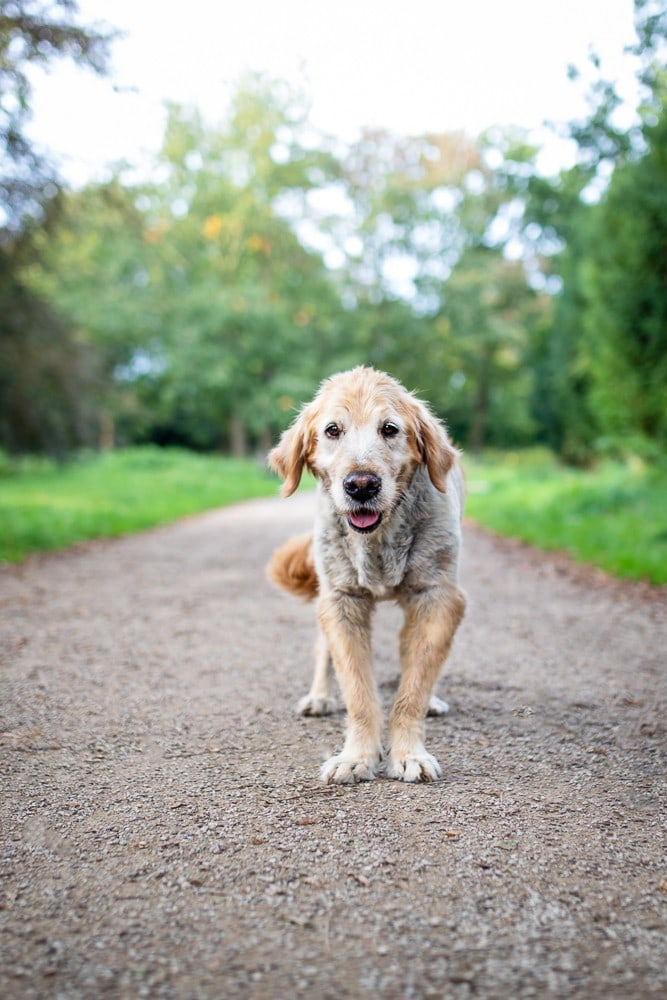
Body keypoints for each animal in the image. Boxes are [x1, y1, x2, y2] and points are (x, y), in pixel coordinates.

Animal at [264, 364, 464, 784]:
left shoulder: (437, 596)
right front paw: (356, 757)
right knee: (322, 651)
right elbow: (357, 691)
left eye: (389, 429)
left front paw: (408, 753)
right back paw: (319, 696)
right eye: (332, 430)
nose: (361, 485)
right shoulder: (341, 601)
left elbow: (413, 688)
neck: (380, 540)